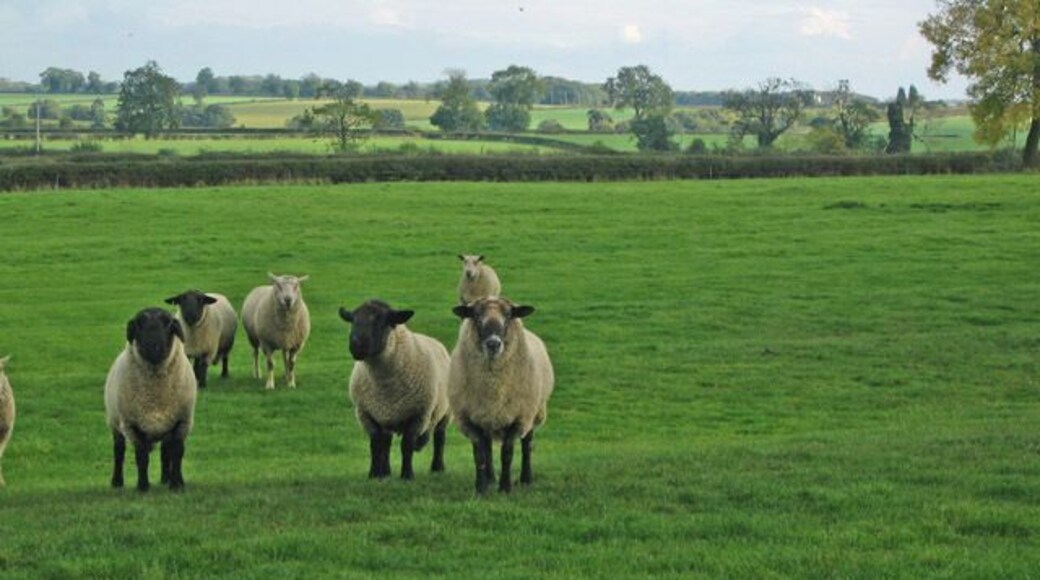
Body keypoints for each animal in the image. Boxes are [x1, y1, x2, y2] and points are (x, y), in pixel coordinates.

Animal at [104, 308, 196, 492]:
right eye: (139, 324)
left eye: (168, 323)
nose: (154, 347)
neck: (155, 396)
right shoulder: (132, 425)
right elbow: (141, 457)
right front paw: (143, 487)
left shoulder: (181, 423)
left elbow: (177, 454)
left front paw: (176, 485)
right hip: (115, 422)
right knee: (119, 451)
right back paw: (117, 482)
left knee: (165, 453)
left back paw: (167, 479)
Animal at [339, 300, 450, 480]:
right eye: (353, 320)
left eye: (382, 321)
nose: (356, 345)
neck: (384, 384)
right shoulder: (366, 414)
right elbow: (375, 445)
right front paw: (374, 475)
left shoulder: (418, 415)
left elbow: (407, 445)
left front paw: (407, 475)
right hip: (386, 414)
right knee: (387, 442)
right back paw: (386, 472)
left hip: (445, 413)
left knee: (440, 437)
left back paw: (437, 467)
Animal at [448, 296, 554, 494]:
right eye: (476, 316)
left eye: (509, 316)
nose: (493, 344)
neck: (493, 387)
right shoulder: (469, 419)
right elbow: (480, 455)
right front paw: (481, 488)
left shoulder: (519, 418)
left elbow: (507, 453)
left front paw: (505, 487)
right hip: (487, 419)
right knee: (488, 448)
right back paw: (490, 479)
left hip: (533, 412)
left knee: (527, 445)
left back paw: (526, 479)